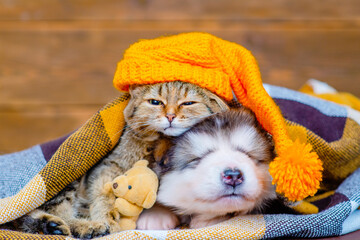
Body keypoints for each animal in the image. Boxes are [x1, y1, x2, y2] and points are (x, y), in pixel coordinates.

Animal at [16, 81, 228, 238]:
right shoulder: (107, 167)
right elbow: (104, 194)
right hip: (67, 174)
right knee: (55, 212)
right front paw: (107, 218)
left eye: (188, 103)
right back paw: (81, 226)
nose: (170, 116)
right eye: (155, 102)